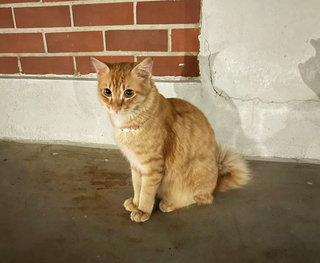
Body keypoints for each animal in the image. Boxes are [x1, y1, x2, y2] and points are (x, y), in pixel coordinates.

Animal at [90, 57, 250, 223]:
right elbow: (137, 187)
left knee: (200, 198)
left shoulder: (152, 166)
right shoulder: (136, 165)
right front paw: (135, 203)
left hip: (194, 172)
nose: (115, 107)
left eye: (128, 93)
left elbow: (146, 193)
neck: (129, 126)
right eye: (107, 92)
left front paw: (142, 210)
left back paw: (169, 203)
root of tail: (216, 183)